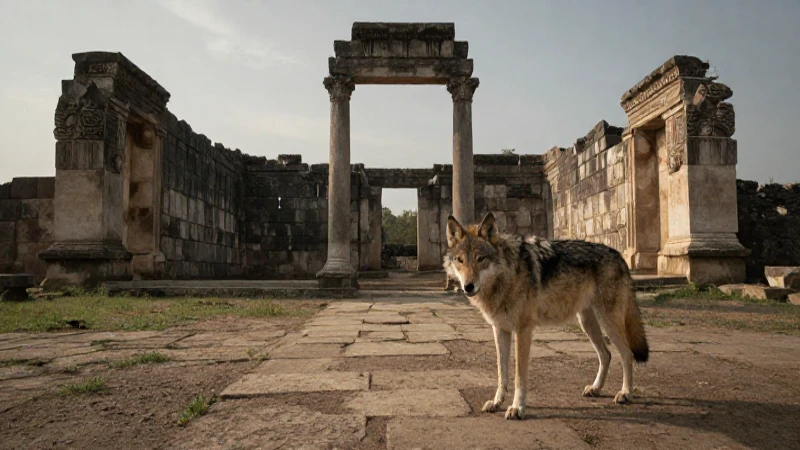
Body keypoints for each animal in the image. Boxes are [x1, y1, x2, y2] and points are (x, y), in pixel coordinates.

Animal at [443, 212, 649, 420]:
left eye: (481, 259)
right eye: (460, 260)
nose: (468, 286)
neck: (508, 274)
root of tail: (619, 256)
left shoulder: (523, 331)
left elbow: (519, 377)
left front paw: (517, 408)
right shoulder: (500, 329)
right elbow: (502, 373)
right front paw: (496, 403)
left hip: (608, 321)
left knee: (626, 353)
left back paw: (625, 393)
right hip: (587, 323)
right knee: (606, 354)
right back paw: (596, 388)